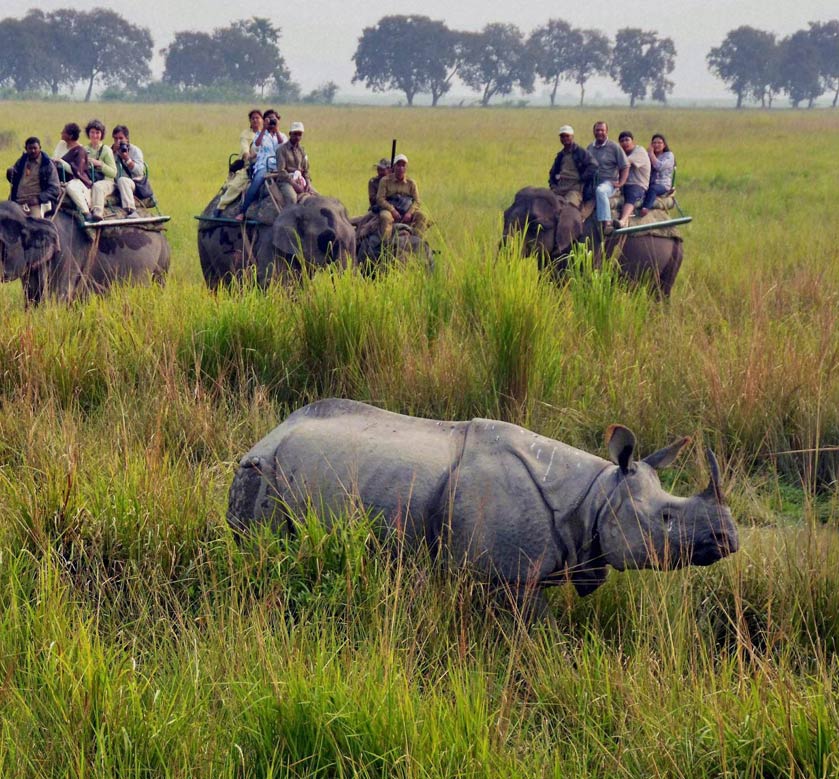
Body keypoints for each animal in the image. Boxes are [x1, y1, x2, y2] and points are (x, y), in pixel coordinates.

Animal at [200, 192, 358, 290]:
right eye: (329, 238)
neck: (301, 204)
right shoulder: (268, 239)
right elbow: (277, 281)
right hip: (203, 245)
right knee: (215, 284)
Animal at [226, 402, 740, 608]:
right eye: (666, 518)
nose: (729, 539)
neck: (596, 494)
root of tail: (269, 433)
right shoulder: (510, 576)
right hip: (261, 472)